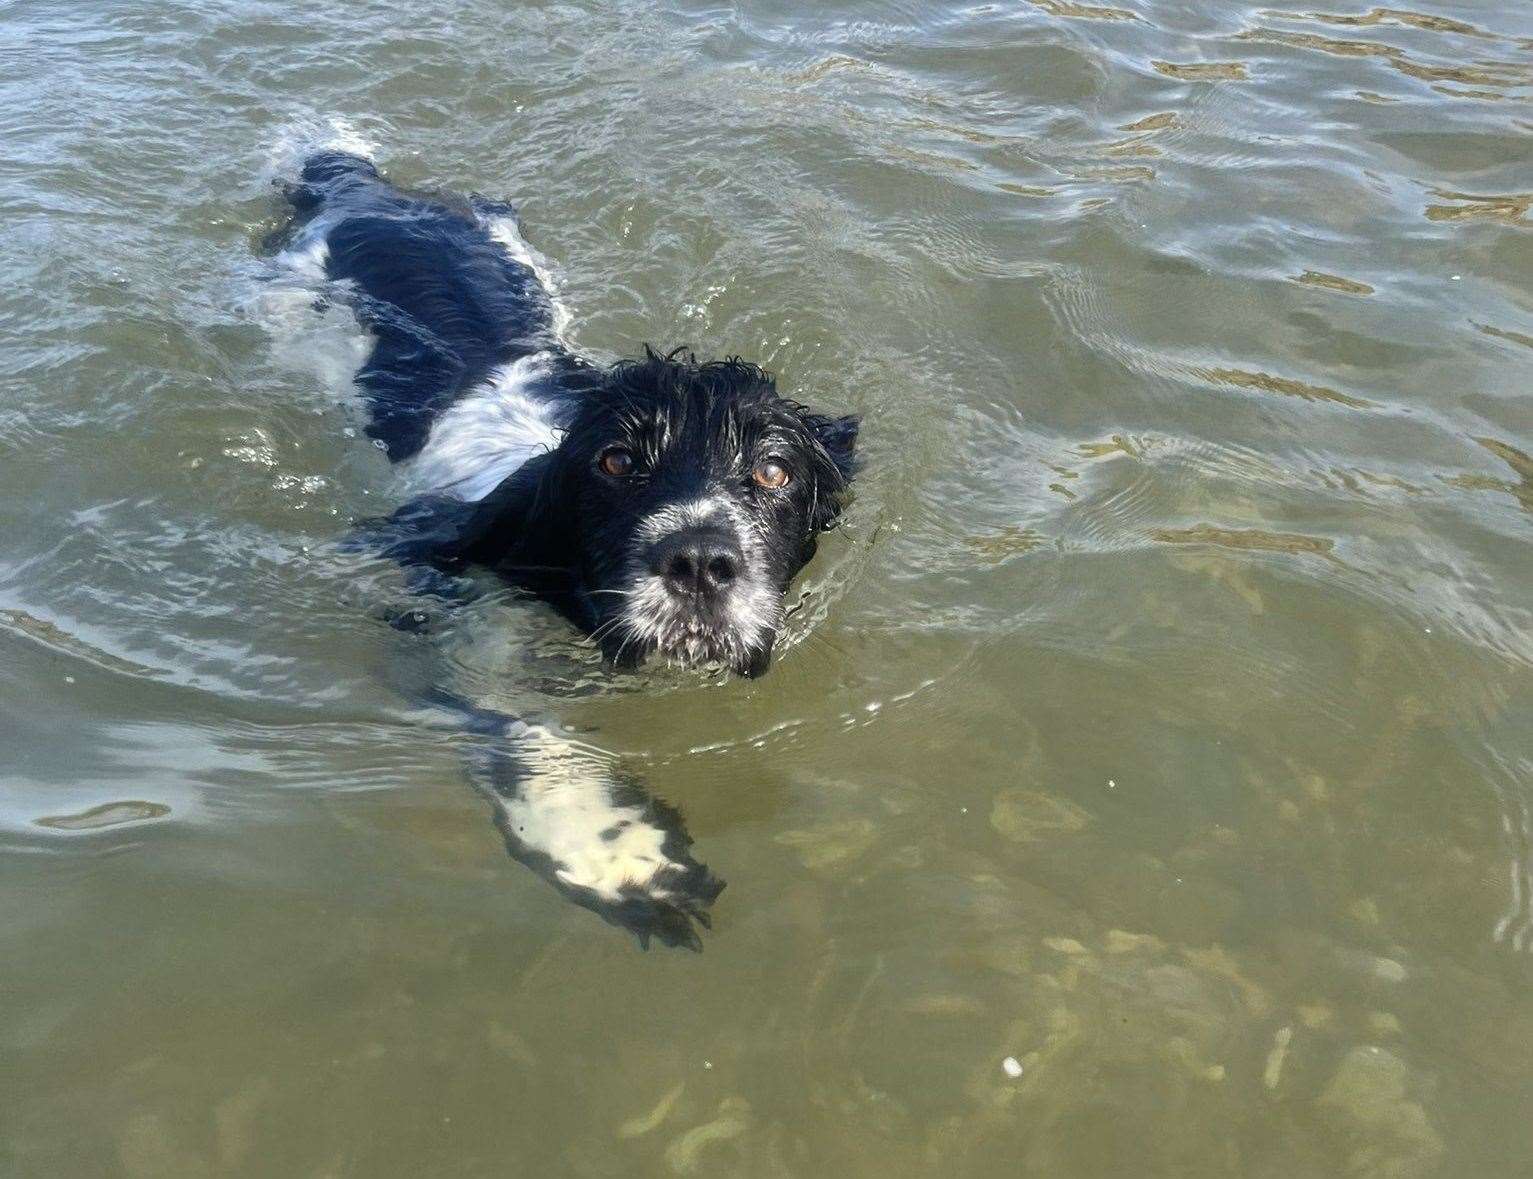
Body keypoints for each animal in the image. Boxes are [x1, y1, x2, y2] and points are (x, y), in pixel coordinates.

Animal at [268, 147, 858, 944]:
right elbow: (526, 738)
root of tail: (355, 182)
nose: (701, 564)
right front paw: (626, 858)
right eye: (613, 460)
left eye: (774, 470)